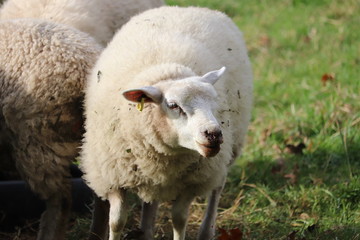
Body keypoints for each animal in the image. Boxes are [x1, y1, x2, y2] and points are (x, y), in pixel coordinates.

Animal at [80, 5, 252, 240]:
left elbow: (179, 219)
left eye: (214, 100)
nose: (214, 134)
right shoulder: (113, 177)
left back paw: (206, 230)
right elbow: (116, 221)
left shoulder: (192, 182)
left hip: (226, 154)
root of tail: (187, 8)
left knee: (217, 188)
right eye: (173, 105)